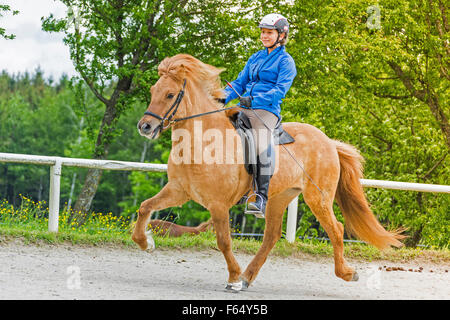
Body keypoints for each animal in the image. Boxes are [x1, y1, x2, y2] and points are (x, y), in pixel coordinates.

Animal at [132, 54, 402, 290]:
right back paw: (247, 277)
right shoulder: (179, 191)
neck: (203, 142)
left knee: (335, 229)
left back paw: (346, 273)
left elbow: (224, 241)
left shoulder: (218, 205)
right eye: (153, 91)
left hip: (318, 197)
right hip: (279, 198)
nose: (145, 126)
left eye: (170, 94)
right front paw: (146, 242)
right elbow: (145, 207)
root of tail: (329, 142)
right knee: (271, 237)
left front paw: (233, 277)